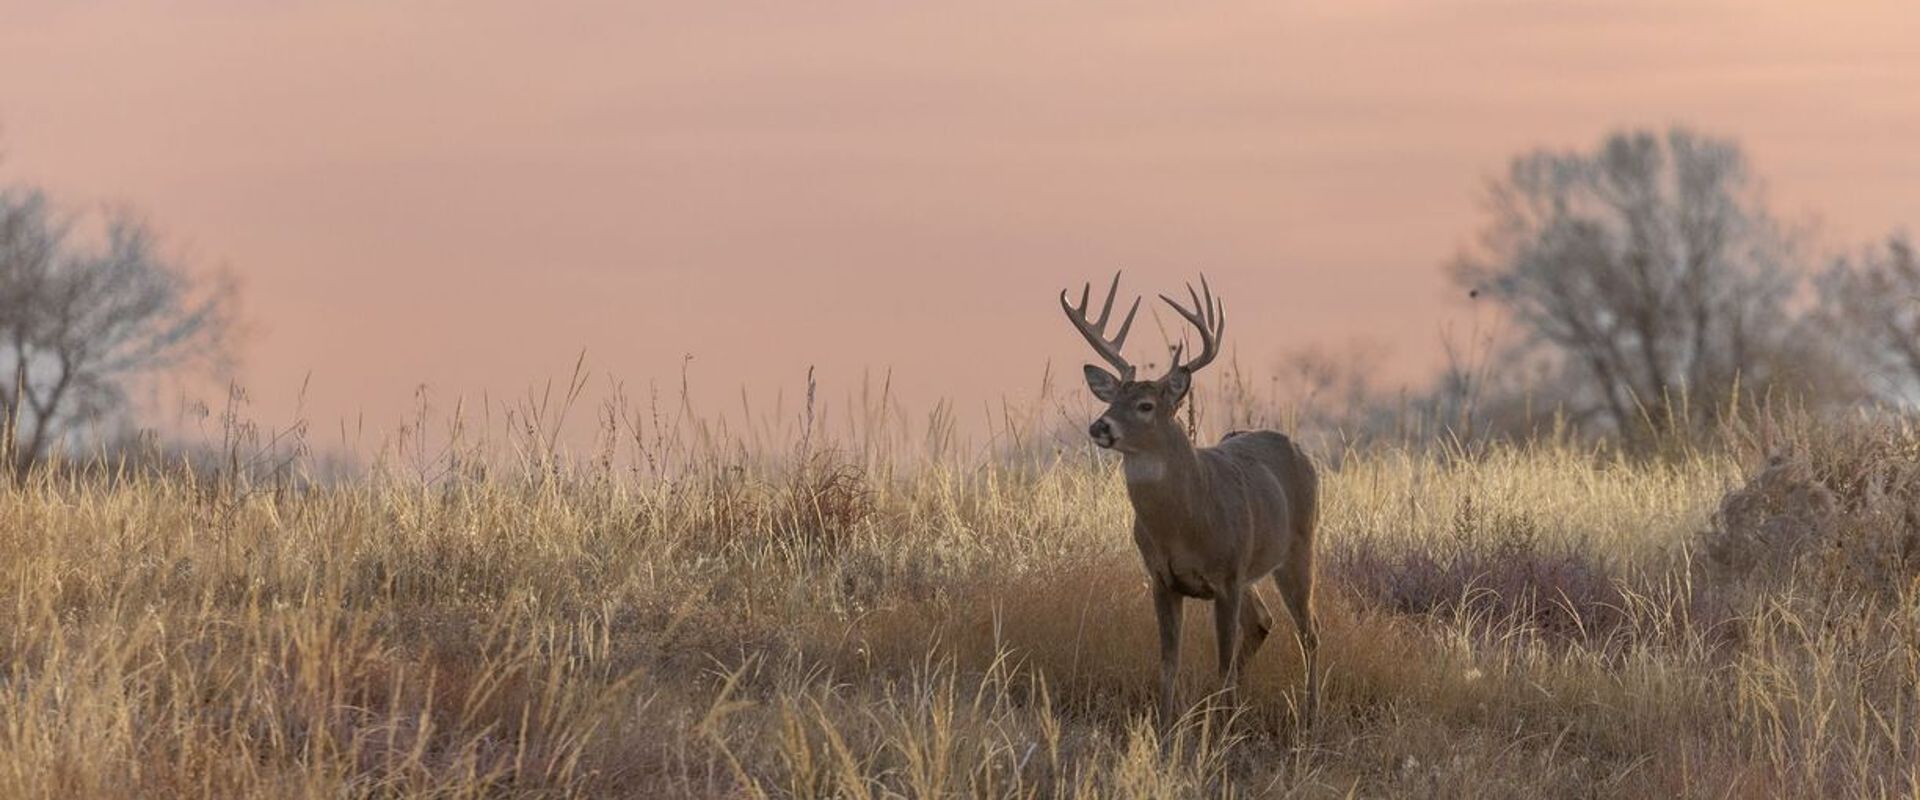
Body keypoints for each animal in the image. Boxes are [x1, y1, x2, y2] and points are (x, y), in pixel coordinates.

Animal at [1060, 272, 1321, 726]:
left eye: (1145, 405)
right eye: (1112, 399)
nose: (1099, 426)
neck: (1185, 522)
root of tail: (1298, 449)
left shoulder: (1228, 575)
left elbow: (1222, 660)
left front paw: (1222, 730)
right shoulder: (1162, 578)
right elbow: (1169, 660)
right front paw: (1167, 725)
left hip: (1298, 548)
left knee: (1309, 632)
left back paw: (1307, 712)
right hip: (1252, 573)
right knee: (1263, 623)